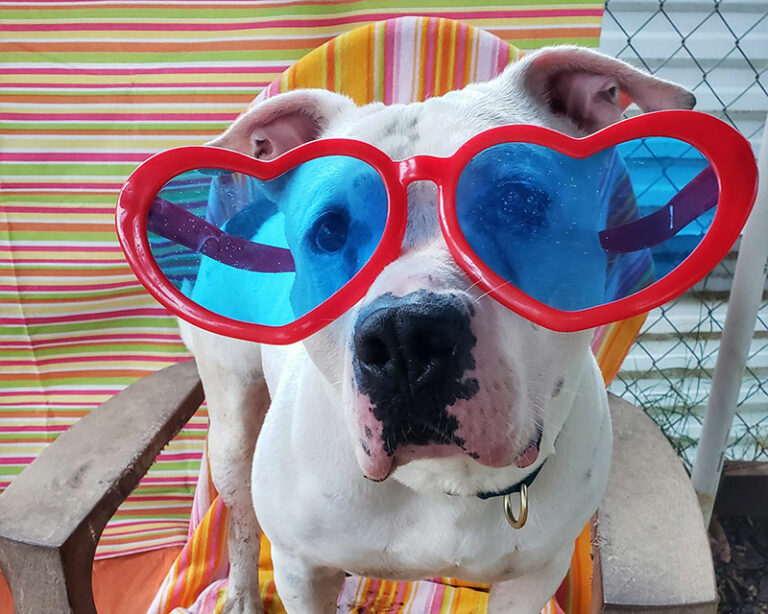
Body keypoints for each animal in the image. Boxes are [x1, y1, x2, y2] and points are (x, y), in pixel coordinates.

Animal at [180, 47, 696, 614]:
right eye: (330, 230)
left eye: (517, 203)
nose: (404, 333)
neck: (444, 481)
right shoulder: (300, 570)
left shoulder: (535, 576)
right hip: (232, 428)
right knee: (239, 518)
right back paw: (241, 593)